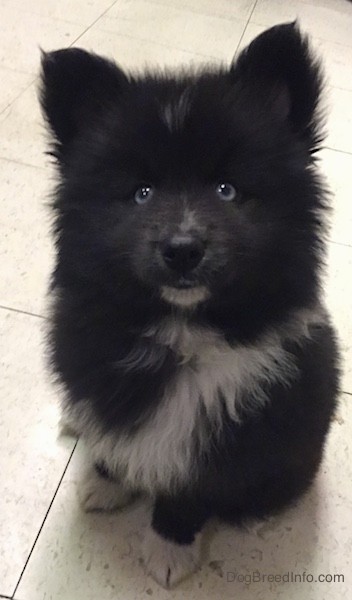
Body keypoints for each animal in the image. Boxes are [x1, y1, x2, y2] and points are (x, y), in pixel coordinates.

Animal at [40, 22, 340, 584]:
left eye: (226, 190)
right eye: (141, 192)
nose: (182, 249)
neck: (180, 333)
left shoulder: (220, 441)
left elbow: (193, 492)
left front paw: (168, 549)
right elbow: (114, 431)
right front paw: (106, 482)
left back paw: (256, 516)